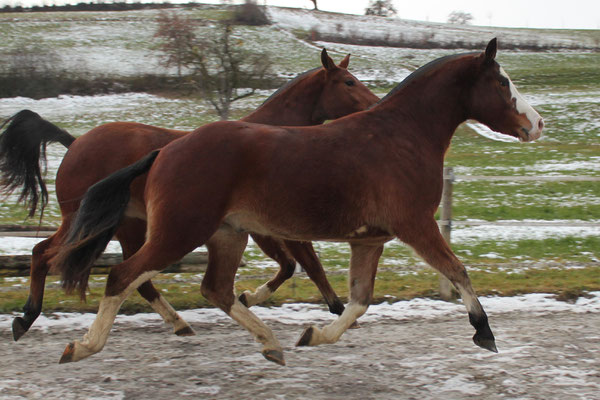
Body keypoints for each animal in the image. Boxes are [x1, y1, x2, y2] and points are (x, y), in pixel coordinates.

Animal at [0, 49, 378, 340]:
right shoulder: (275, 225)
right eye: (348, 82)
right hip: (93, 221)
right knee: (46, 254)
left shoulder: (258, 227)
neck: (273, 138)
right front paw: (339, 311)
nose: (375, 105)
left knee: (132, 278)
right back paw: (26, 318)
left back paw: (178, 324)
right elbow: (310, 265)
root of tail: (75, 141)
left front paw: (246, 297)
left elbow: (288, 267)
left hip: (126, 227)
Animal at [55, 38, 544, 366]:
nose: (537, 124)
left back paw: (270, 343)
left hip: (226, 235)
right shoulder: (415, 225)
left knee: (216, 289)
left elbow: (359, 300)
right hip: (180, 232)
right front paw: (484, 333)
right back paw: (84, 346)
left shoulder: (369, 240)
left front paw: (314, 335)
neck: (400, 137)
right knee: (123, 276)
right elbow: (457, 271)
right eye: (502, 82)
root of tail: (164, 151)